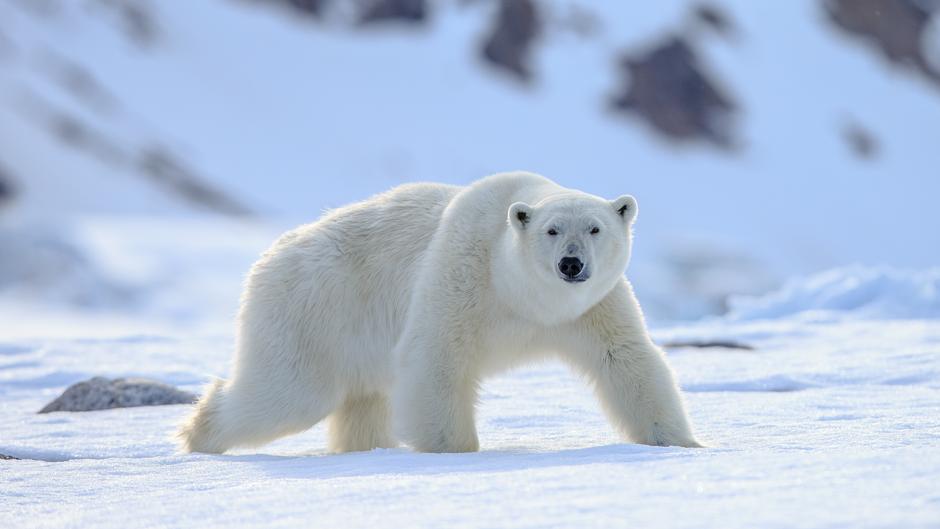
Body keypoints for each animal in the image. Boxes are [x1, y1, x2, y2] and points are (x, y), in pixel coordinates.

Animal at [180, 171, 700, 452]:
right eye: (552, 230)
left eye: (595, 228)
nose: (571, 264)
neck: (523, 297)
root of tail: (270, 256)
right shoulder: (463, 272)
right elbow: (437, 358)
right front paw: (455, 451)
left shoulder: (592, 308)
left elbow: (626, 360)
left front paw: (682, 443)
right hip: (312, 310)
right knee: (287, 393)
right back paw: (198, 434)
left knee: (362, 402)